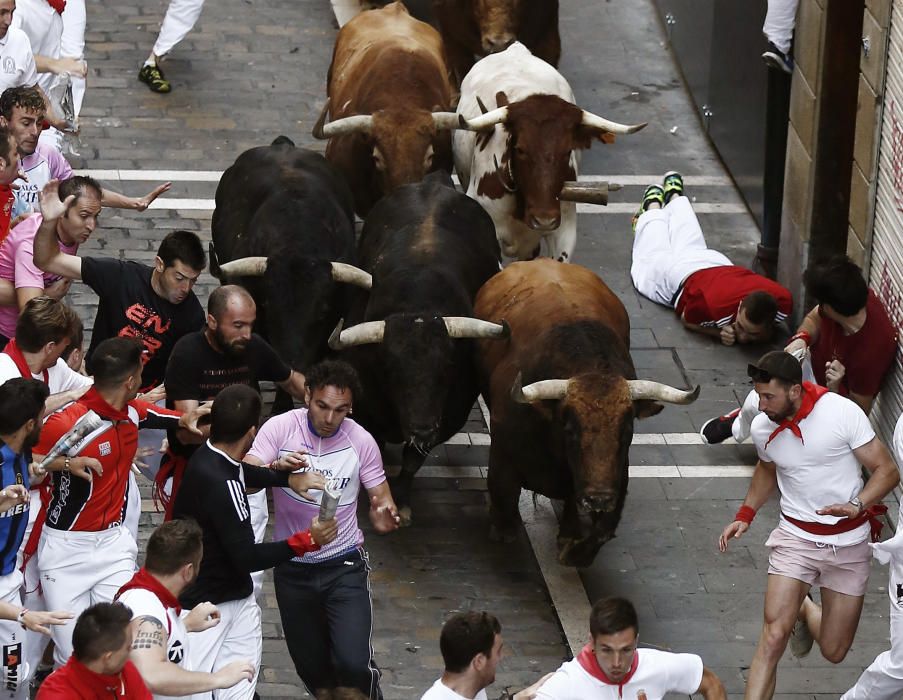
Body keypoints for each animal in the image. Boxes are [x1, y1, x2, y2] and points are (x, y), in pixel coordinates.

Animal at [328, 174, 504, 524]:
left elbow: (412, 461)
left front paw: (403, 500)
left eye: (449, 365)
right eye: (390, 369)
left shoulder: (447, 419)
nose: (422, 428)